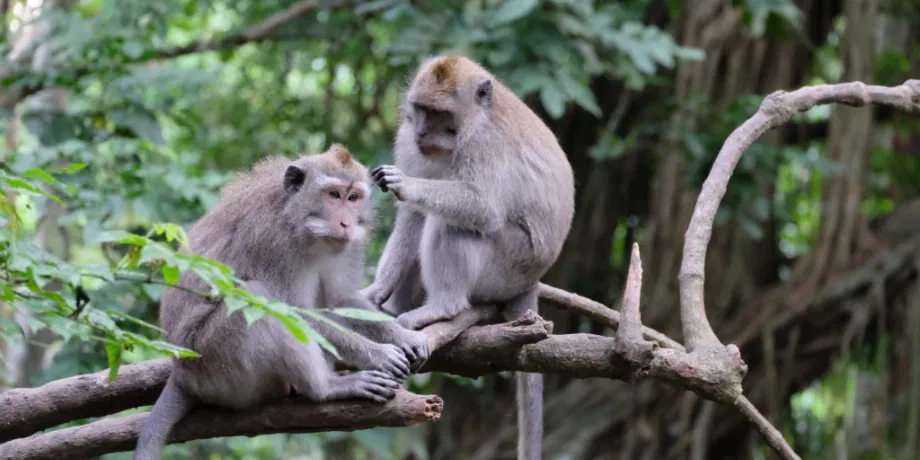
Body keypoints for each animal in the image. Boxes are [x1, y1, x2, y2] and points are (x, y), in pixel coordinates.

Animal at [133, 144, 430, 460]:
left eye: (353, 198)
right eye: (333, 194)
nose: (346, 223)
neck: (302, 222)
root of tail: (182, 372)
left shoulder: (350, 244)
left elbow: (342, 298)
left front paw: (403, 335)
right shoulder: (272, 240)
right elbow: (293, 310)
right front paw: (377, 354)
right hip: (215, 366)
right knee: (261, 298)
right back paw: (326, 388)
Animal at [361, 55, 576, 460]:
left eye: (439, 113)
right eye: (421, 109)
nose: (422, 134)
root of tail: (532, 281)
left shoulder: (485, 145)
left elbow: (483, 207)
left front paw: (407, 184)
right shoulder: (409, 142)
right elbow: (410, 213)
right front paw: (376, 290)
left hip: (507, 267)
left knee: (453, 223)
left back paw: (443, 307)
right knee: (428, 217)